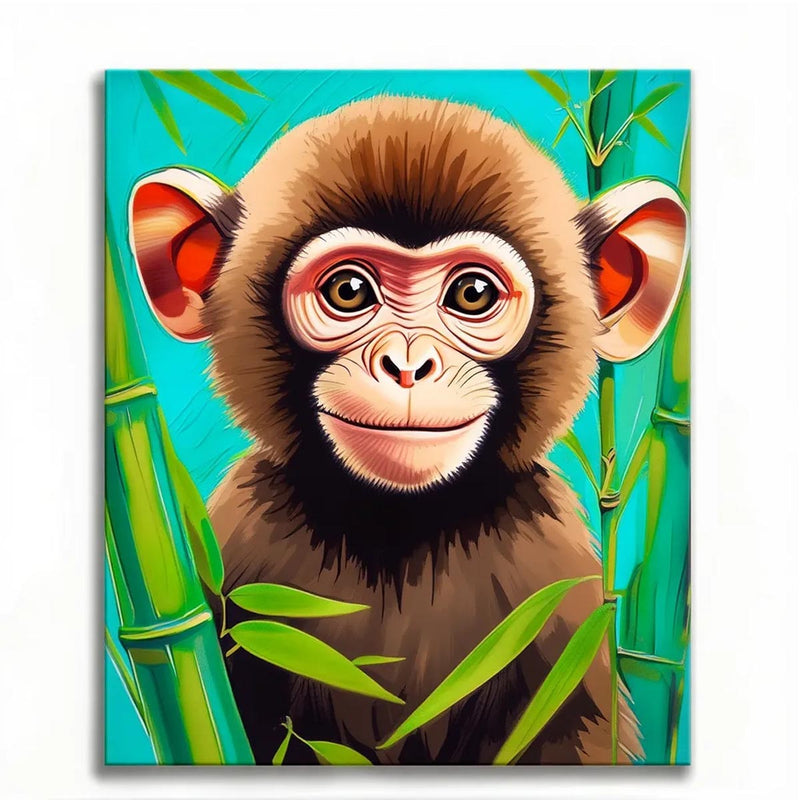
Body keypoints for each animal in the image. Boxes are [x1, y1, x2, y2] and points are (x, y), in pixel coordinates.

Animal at [128, 96, 688, 765]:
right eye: (349, 290)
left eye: (472, 294)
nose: (407, 365)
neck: (400, 529)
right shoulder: (237, 554)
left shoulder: (562, 596)